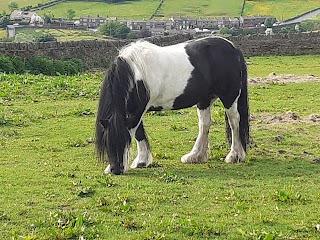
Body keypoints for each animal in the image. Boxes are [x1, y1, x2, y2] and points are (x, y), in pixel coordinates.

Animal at [95, 36, 250, 174]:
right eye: (106, 141)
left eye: (125, 141)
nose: (116, 170)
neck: (136, 71)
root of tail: (234, 49)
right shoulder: (133, 110)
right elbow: (139, 133)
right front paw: (141, 161)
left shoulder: (138, 110)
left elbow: (135, 133)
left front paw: (140, 161)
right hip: (204, 100)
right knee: (204, 124)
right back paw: (195, 156)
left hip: (229, 98)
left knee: (234, 121)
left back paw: (234, 155)